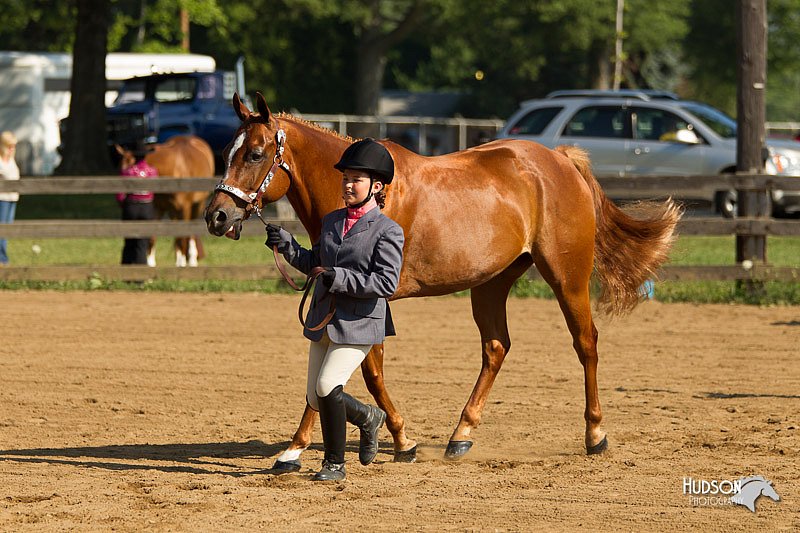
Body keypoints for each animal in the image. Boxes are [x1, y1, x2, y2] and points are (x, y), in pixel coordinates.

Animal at [117, 134, 214, 264]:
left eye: (128, 172)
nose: (121, 200)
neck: (173, 169)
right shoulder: (156, 209)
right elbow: (152, 238)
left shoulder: (184, 209)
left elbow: (182, 238)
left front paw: (182, 264)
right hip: (173, 211)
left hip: (197, 205)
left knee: (190, 235)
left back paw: (191, 260)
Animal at [203, 93, 680, 468]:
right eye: (228, 149)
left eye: (256, 153)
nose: (216, 216)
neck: (369, 199)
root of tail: (561, 158)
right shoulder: (333, 291)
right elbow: (329, 375)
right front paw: (295, 448)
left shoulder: (372, 297)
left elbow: (367, 373)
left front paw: (401, 439)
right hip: (491, 282)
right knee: (496, 347)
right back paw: (461, 436)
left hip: (567, 278)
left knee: (586, 343)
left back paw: (595, 435)